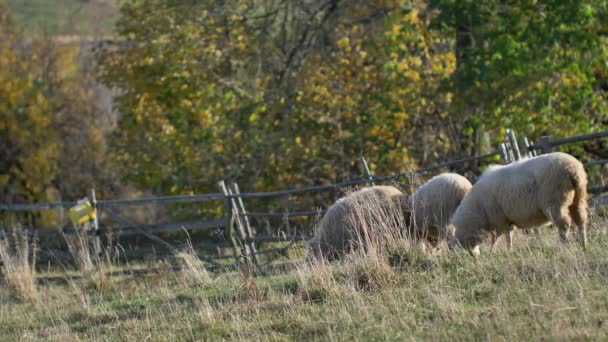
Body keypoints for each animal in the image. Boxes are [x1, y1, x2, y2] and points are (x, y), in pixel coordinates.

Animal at [448, 152, 588, 256]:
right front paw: (509, 250)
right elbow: (508, 236)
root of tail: (573, 169)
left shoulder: (498, 220)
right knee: (581, 220)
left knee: (564, 225)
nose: (475, 256)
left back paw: (563, 244)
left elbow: (496, 237)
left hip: (555, 202)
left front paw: (492, 251)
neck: (477, 210)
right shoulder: (506, 219)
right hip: (578, 198)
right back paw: (584, 244)